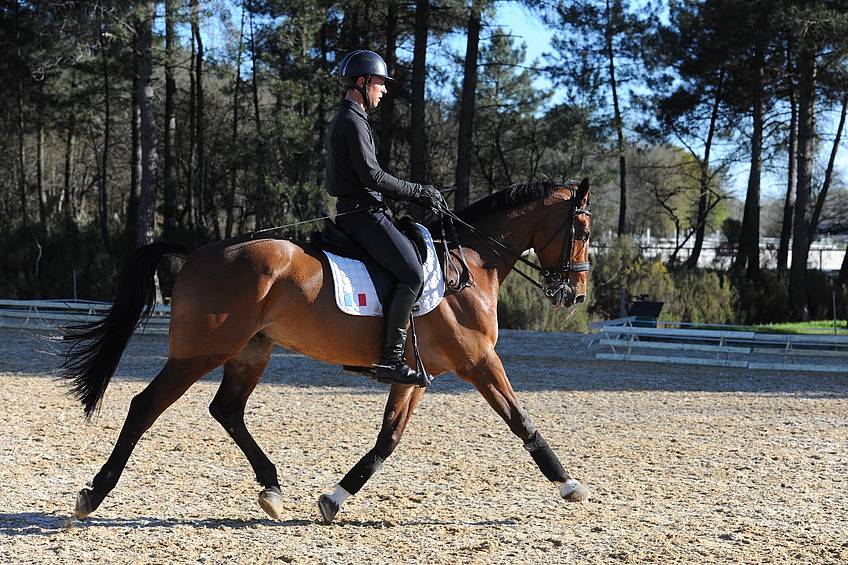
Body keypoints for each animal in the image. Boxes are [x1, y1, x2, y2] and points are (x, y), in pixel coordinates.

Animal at [61, 178, 593, 523]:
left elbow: (387, 440)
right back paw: (94, 494)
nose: (574, 295)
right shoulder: (479, 362)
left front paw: (334, 499)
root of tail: (197, 253)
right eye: (584, 232)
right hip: (201, 352)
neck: (471, 263)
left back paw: (272, 489)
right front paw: (569, 485)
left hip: (251, 351)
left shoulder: (416, 375)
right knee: (145, 405)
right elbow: (522, 421)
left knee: (227, 409)